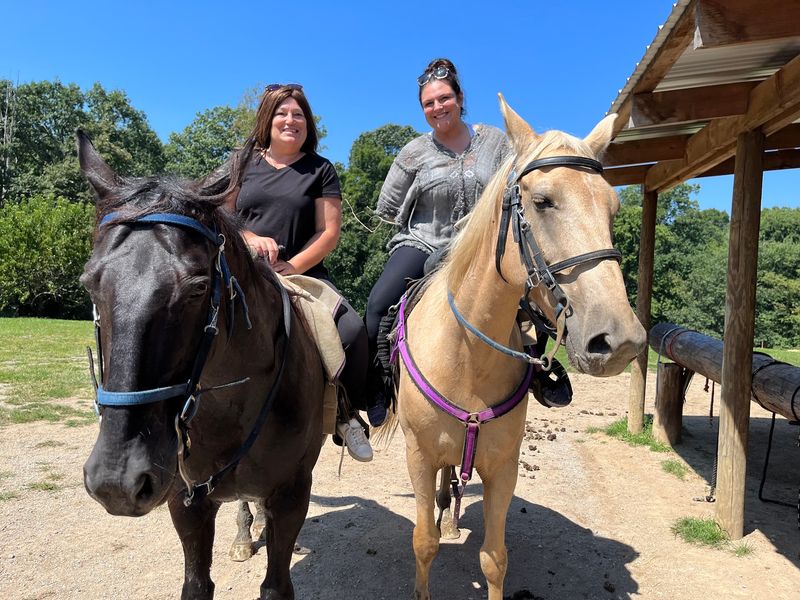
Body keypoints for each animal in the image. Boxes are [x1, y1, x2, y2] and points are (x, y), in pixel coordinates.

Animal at [78, 131, 326, 600]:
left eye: (196, 288)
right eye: (90, 283)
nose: (117, 480)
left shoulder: (291, 495)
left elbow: (276, 583)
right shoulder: (186, 499)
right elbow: (196, 583)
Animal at [383, 96, 647, 600]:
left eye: (613, 209)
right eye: (542, 202)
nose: (620, 341)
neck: (467, 356)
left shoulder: (503, 467)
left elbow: (494, 558)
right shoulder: (417, 456)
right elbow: (423, 543)